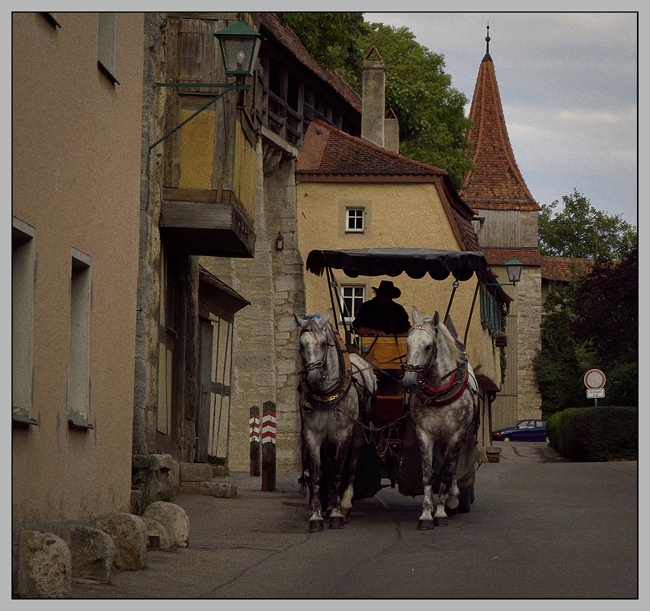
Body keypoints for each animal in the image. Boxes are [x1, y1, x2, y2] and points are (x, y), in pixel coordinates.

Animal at [294, 310, 374, 532]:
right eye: (301, 345)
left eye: (323, 343)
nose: (312, 378)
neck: (326, 394)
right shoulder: (312, 435)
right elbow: (317, 473)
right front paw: (316, 516)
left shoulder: (344, 434)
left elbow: (339, 471)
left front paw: (337, 514)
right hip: (327, 440)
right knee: (328, 466)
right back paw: (329, 504)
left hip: (357, 433)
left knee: (352, 464)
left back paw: (344, 505)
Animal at [400, 308, 476, 528]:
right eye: (407, 343)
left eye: (428, 346)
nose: (409, 382)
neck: (439, 392)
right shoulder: (424, 434)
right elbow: (428, 473)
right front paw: (426, 514)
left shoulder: (456, 434)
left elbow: (446, 472)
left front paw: (442, 512)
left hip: (460, 437)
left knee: (453, 464)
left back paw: (453, 497)